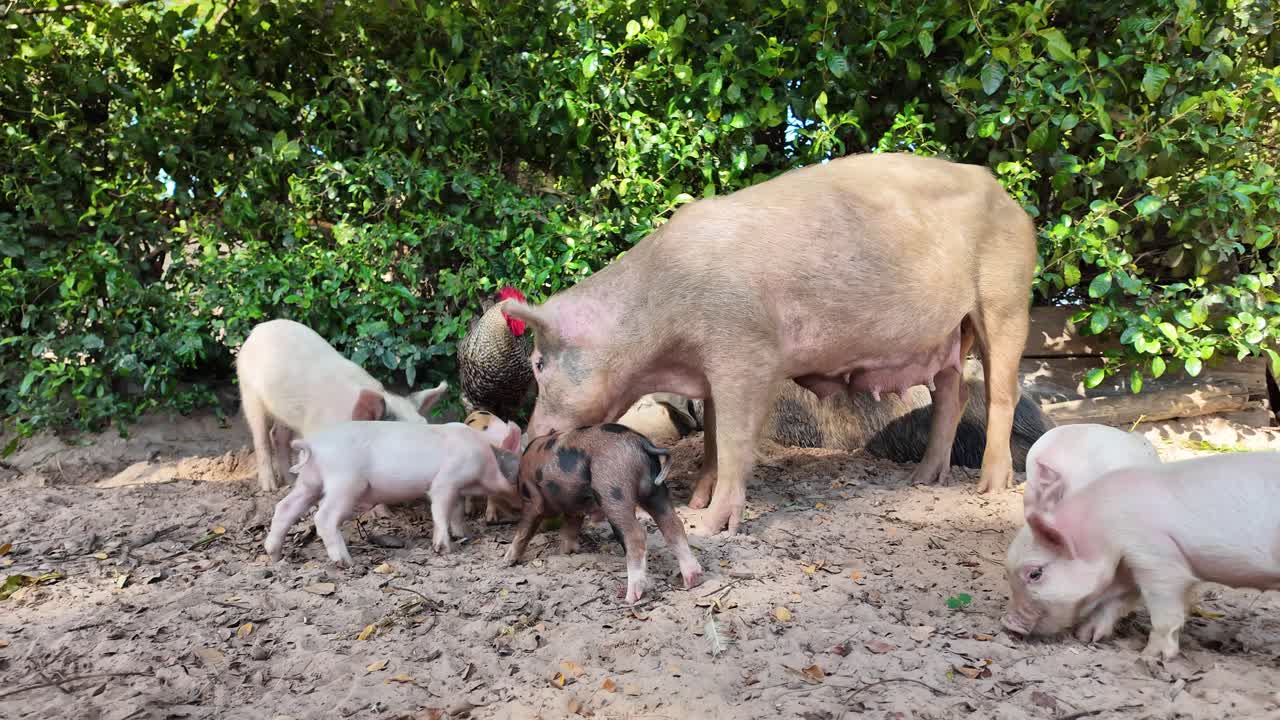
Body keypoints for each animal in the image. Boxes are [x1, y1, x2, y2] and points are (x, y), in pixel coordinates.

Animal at [237, 318, 450, 492]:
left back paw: (289, 482)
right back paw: (270, 488)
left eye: (425, 425)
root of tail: (258, 329)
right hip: (248, 392)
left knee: (278, 435)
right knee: (261, 438)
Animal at [263, 419, 523, 566]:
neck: (487, 457)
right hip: (345, 482)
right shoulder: (446, 480)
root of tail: (314, 445)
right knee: (323, 517)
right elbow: (440, 509)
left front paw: (463, 533)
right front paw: (444, 548)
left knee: (284, 507)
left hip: (309, 483)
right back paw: (346, 562)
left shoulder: (457, 488)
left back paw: (275, 556)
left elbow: (456, 512)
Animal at [500, 152, 1037, 534]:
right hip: (950, 332)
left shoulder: (746, 354)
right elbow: (713, 437)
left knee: (1001, 390)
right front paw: (696, 501)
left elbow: (736, 440)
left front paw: (709, 526)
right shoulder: (709, 372)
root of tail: (1010, 199)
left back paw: (990, 488)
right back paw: (922, 479)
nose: (529, 438)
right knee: (953, 392)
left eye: (539, 364)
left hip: (1006, 297)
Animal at [503, 424, 704, 603]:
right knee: (674, 525)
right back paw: (692, 580)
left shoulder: (531, 499)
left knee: (636, 535)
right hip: (656, 492)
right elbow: (569, 528)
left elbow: (524, 530)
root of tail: (641, 443)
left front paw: (507, 561)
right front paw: (566, 552)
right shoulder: (574, 507)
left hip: (613, 490)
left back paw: (630, 598)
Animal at [1001, 451, 1280, 660]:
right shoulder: (1127, 567)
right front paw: (1088, 637)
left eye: (1035, 574)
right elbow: (1116, 602)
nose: (1007, 625)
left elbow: (1164, 611)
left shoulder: (1157, 558)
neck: (1104, 532)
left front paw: (1151, 656)